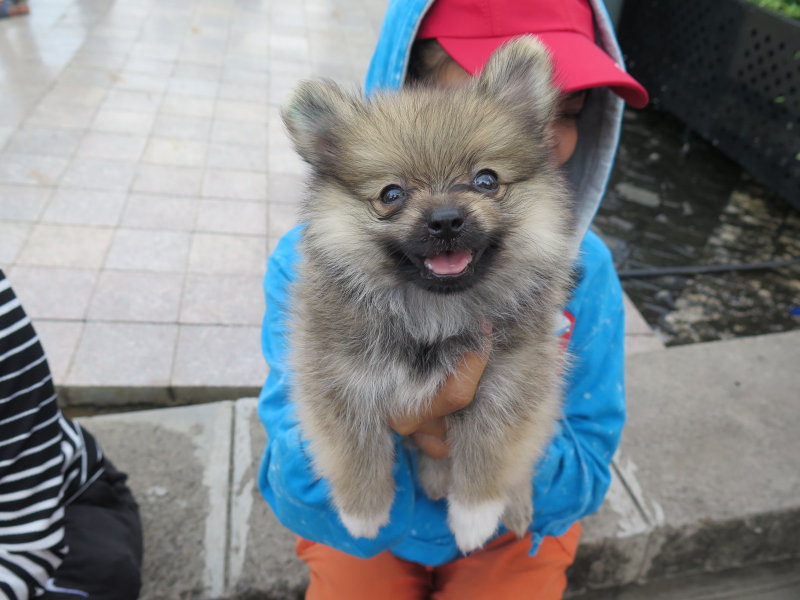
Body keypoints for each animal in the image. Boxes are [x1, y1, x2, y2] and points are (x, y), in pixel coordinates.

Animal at [282, 36, 576, 552]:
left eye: (486, 180)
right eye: (391, 194)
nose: (445, 219)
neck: (434, 313)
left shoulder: (513, 383)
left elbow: (492, 450)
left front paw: (476, 515)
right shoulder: (336, 381)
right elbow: (353, 449)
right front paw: (363, 512)